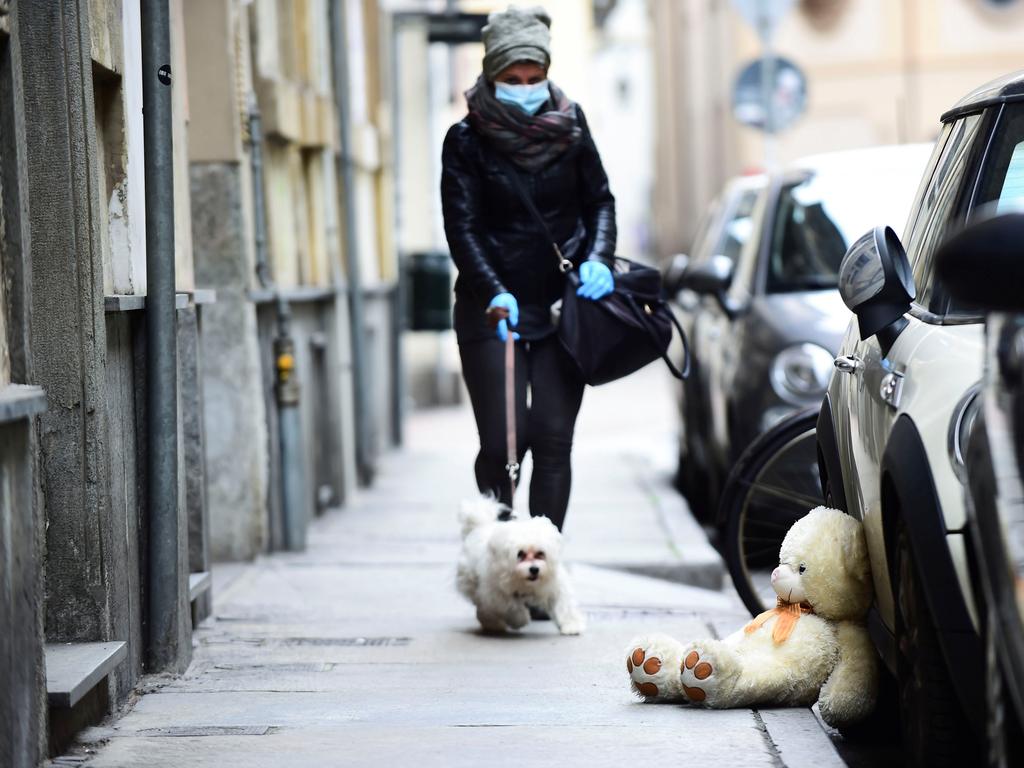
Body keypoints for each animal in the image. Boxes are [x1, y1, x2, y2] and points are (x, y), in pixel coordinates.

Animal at [456, 499, 585, 638]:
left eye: (540, 553)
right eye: (520, 554)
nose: (534, 569)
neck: (525, 583)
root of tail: (480, 526)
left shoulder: (555, 586)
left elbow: (564, 605)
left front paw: (572, 625)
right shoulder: (496, 593)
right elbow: (511, 607)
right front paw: (520, 620)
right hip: (473, 584)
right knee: (484, 608)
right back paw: (493, 625)